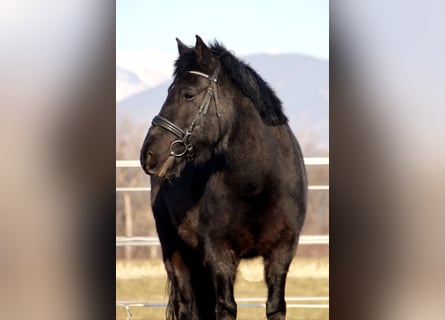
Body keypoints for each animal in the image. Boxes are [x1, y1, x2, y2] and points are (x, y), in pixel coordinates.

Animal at [140, 35, 306, 320]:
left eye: (187, 94)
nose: (148, 155)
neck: (258, 183)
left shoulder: (282, 251)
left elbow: (275, 306)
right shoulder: (219, 253)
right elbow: (226, 307)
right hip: (175, 250)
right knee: (185, 305)